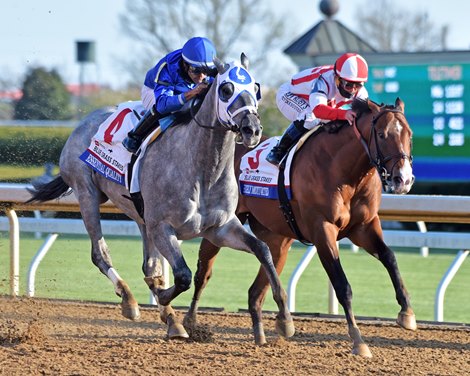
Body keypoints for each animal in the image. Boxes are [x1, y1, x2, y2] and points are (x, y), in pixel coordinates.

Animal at [25, 54, 294, 346]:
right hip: (87, 194)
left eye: (255, 87)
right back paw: (130, 301)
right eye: (226, 89)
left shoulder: (219, 228)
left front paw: (285, 319)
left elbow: (262, 249)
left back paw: (171, 319)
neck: (203, 169)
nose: (252, 129)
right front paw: (163, 297)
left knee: (150, 265)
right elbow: (183, 275)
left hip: (141, 216)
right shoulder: (164, 227)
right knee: (100, 253)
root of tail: (84, 122)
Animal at [185, 97, 416, 356]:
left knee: (256, 290)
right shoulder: (322, 229)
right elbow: (342, 285)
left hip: (277, 241)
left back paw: (264, 334)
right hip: (222, 224)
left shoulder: (364, 227)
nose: (403, 179)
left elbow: (389, 257)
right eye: (382, 134)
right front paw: (358, 340)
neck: (344, 171)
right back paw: (190, 323)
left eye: (409, 135)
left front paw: (407, 313)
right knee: (203, 273)